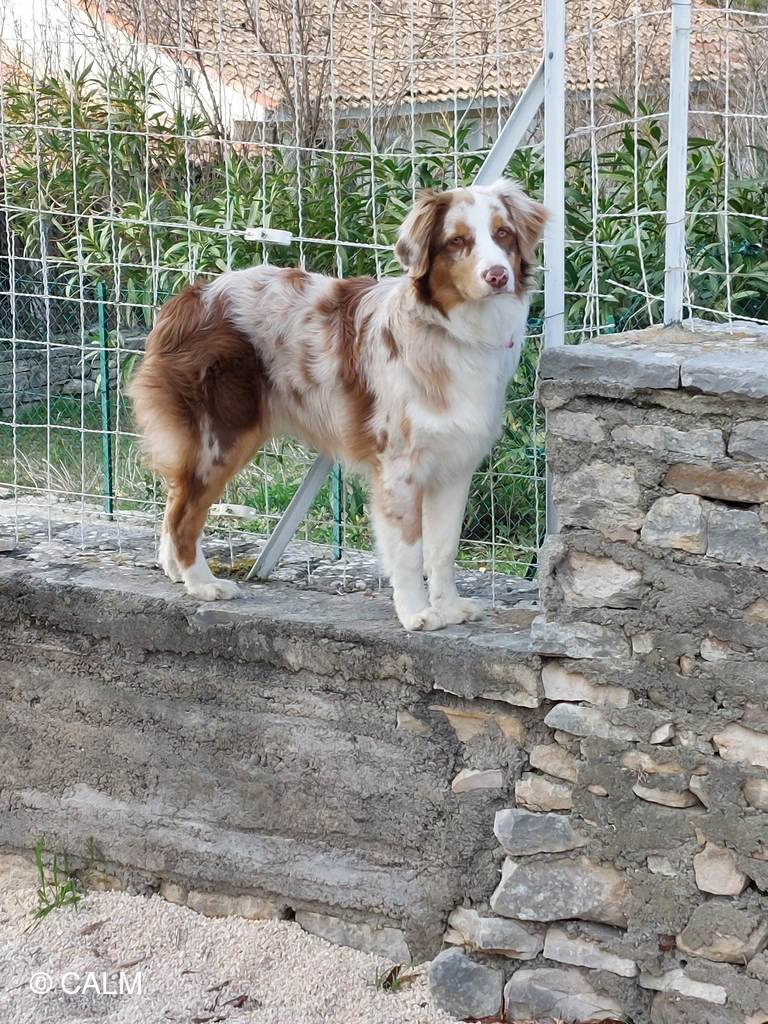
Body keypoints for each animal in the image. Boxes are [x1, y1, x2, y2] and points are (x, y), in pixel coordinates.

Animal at [129, 178, 547, 631]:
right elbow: (409, 550)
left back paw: (174, 569)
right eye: (457, 241)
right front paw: (416, 613)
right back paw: (202, 584)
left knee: (173, 500)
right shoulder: (398, 468)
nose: (497, 275)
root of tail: (189, 297)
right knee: (184, 515)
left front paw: (449, 608)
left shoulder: (454, 464)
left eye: (503, 234)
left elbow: (443, 549)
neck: (450, 331)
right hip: (222, 436)